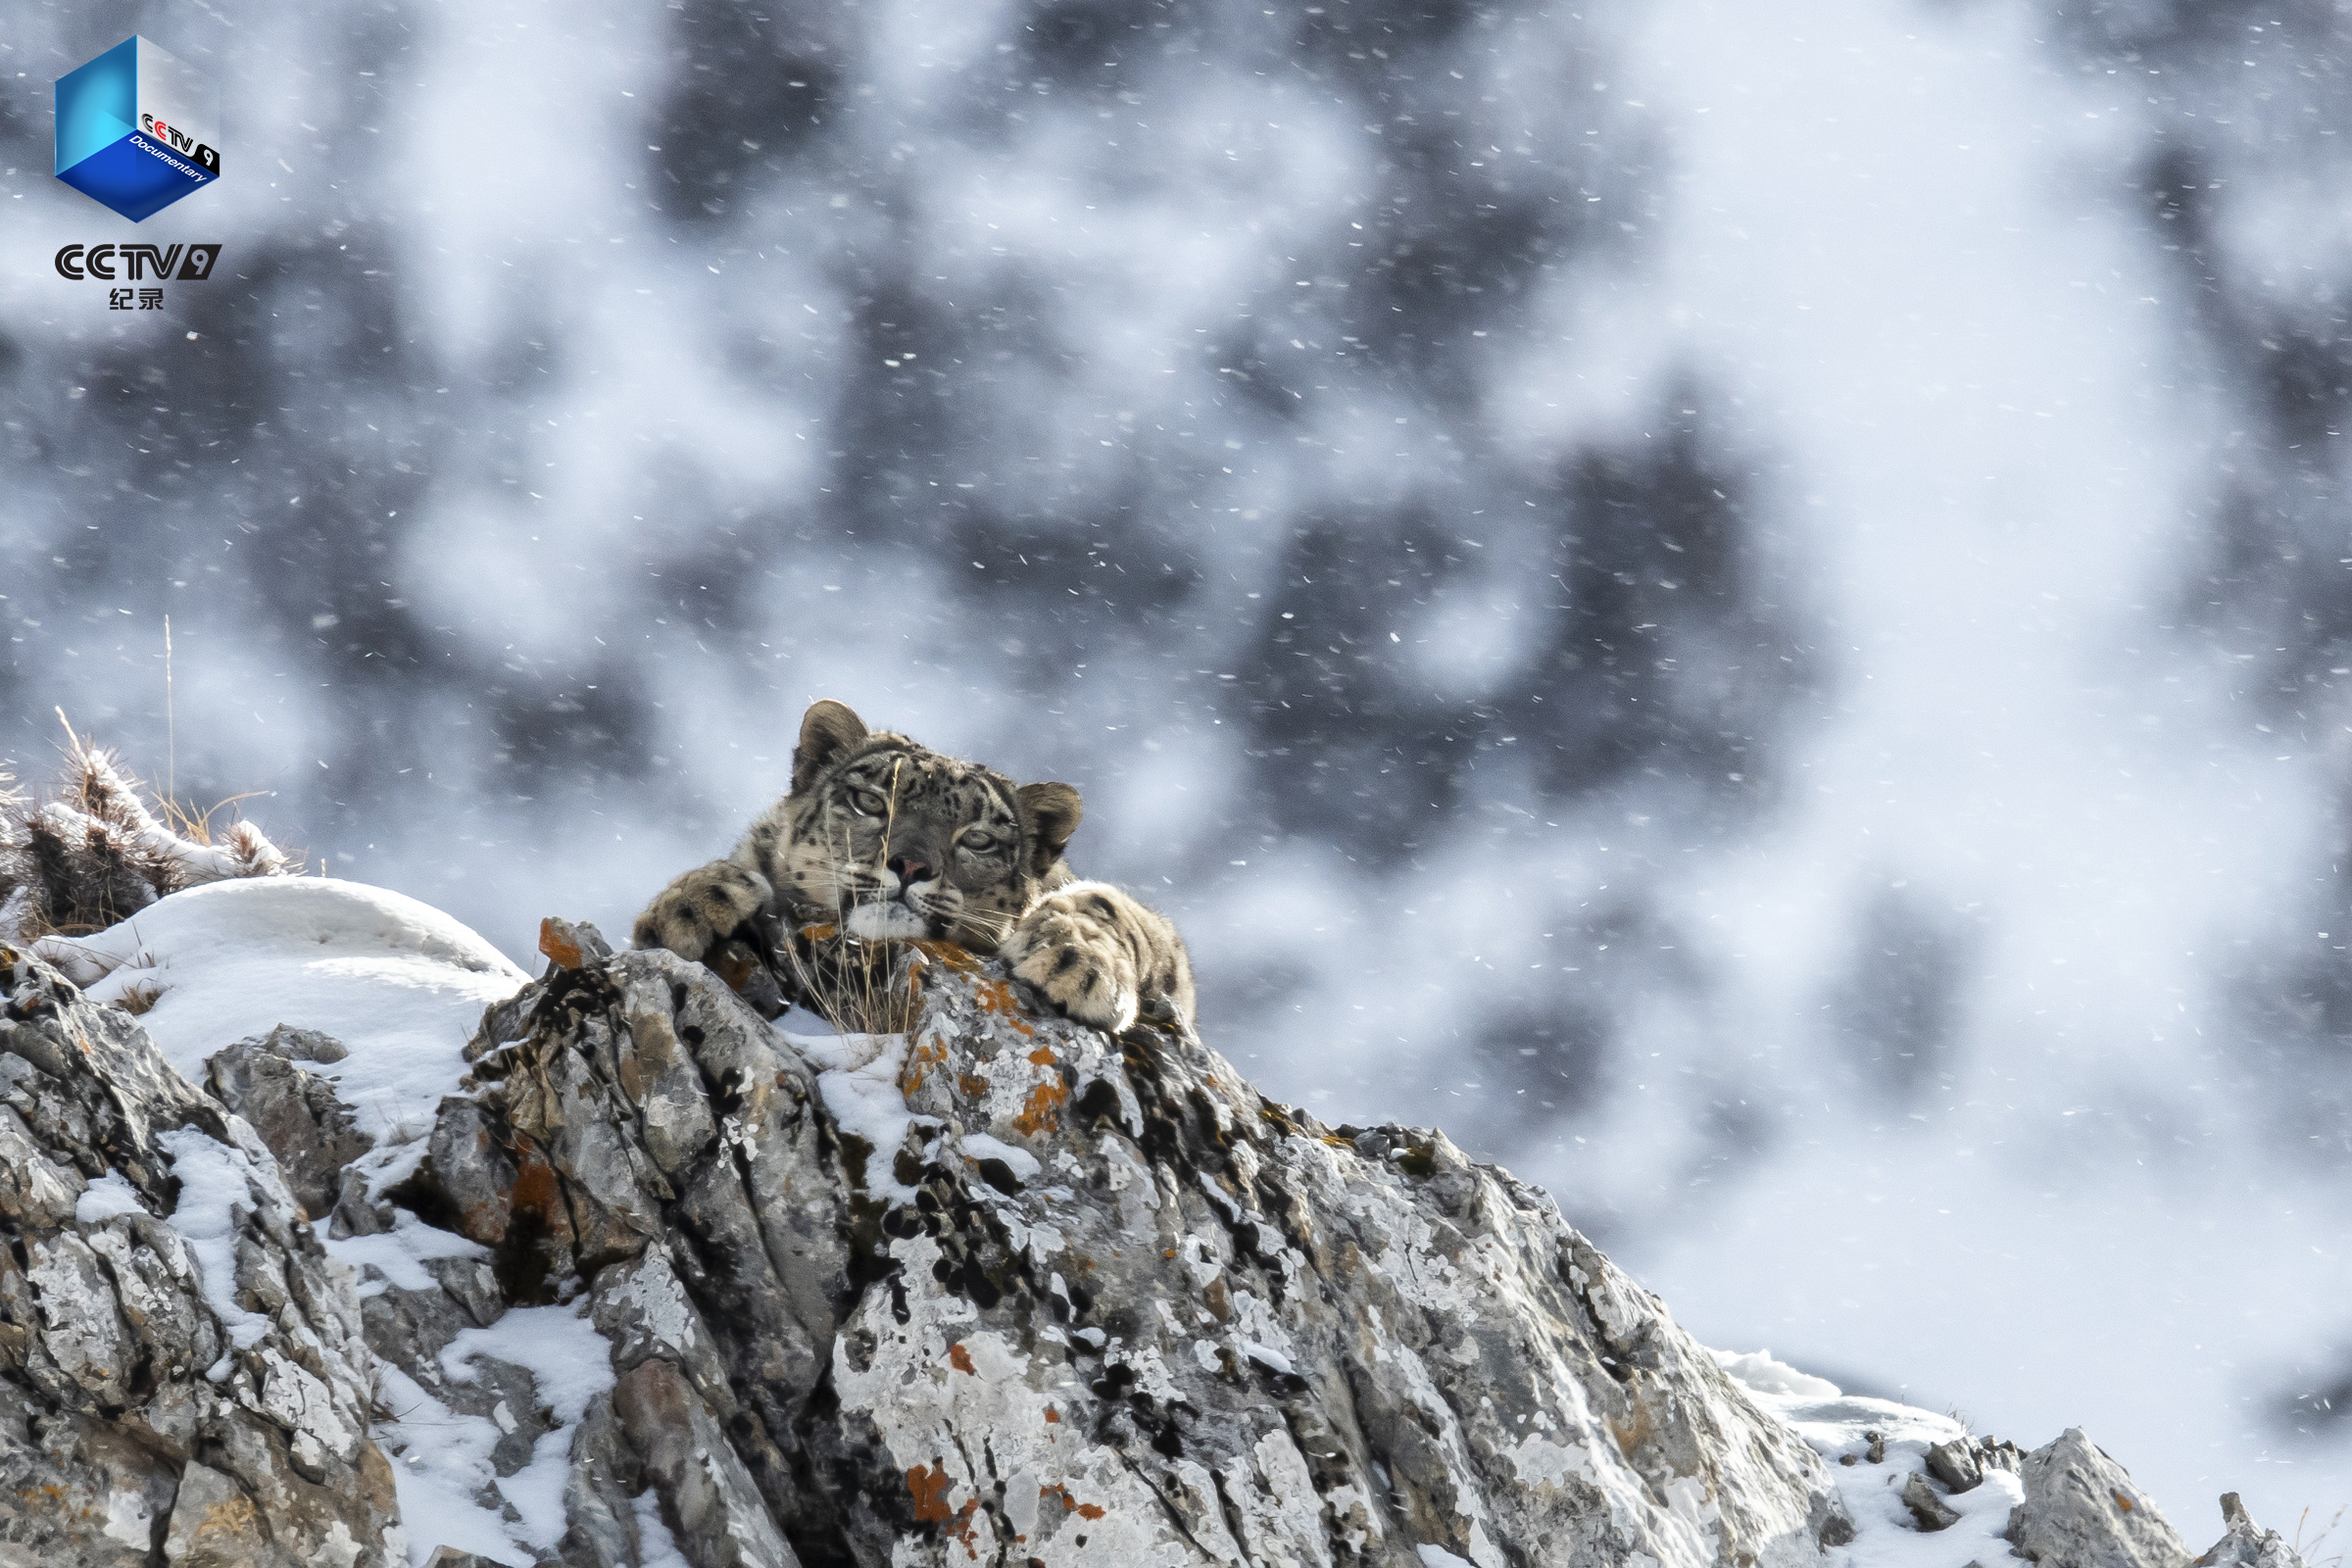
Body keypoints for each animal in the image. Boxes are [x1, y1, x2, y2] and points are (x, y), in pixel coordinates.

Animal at [635, 705, 1195, 1034]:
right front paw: (688, 904)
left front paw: (1077, 963)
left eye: (978, 838)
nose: (909, 863)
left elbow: (1110, 905)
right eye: (868, 801)